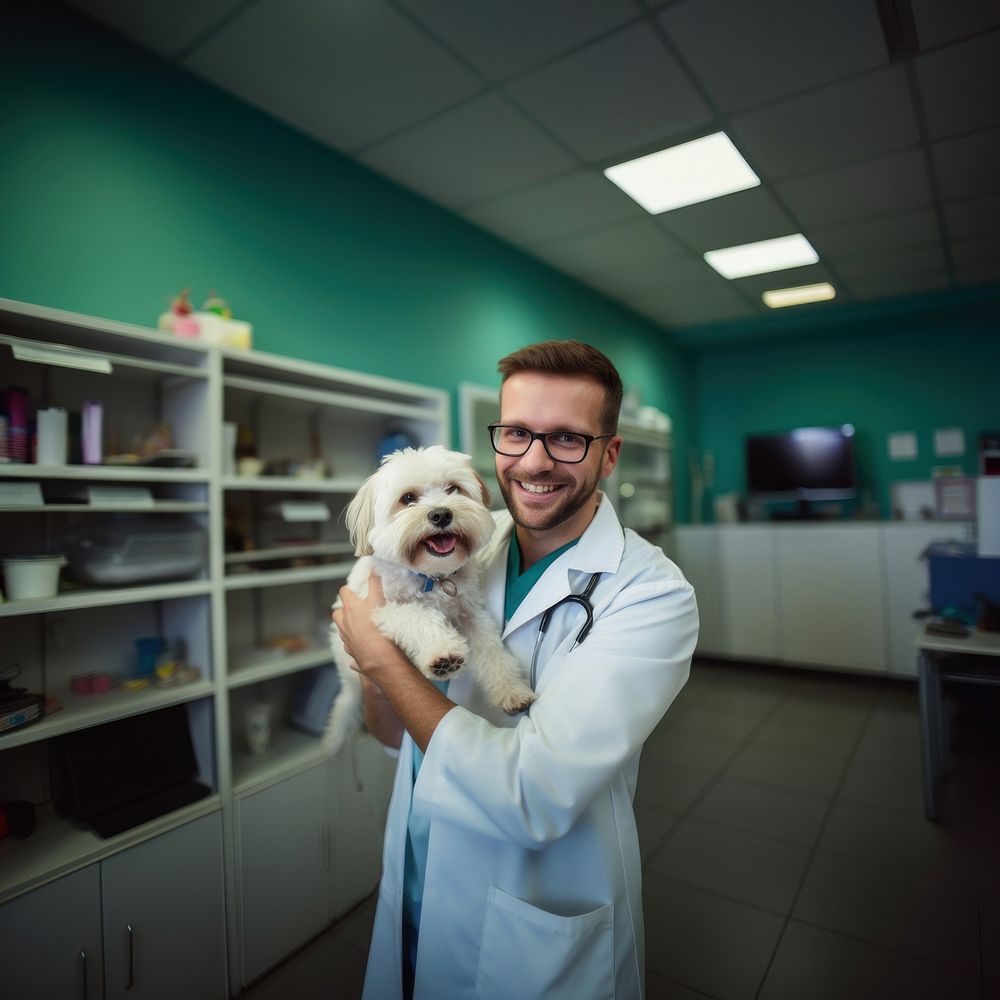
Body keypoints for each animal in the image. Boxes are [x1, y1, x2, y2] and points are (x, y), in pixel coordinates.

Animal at [324, 450, 536, 752]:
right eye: (408, 498)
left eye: (452, 489)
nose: (441, 514)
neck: (432, 577)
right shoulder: (381, 610)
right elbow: (418, 617)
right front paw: (442, 654)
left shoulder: (471, 613)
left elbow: (492, 651)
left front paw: (512, 690)